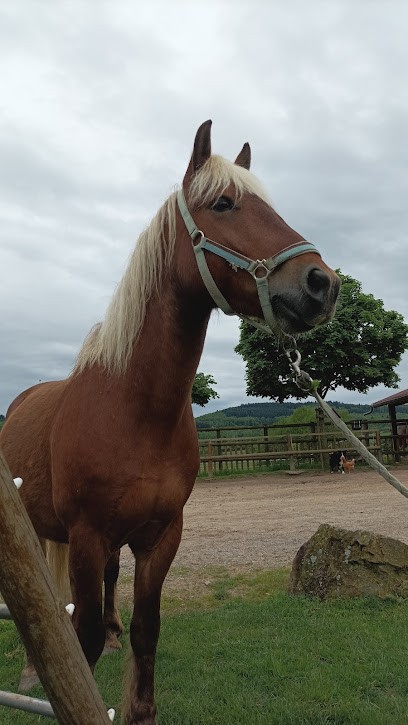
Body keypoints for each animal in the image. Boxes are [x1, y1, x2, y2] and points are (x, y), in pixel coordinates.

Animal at [0, 120, 340, 724]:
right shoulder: (86, 536)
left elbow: (146, 630)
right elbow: (83, 637)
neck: (133, 412)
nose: (322, 283)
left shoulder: (161, 536)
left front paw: (139, 705)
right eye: (224, 203)